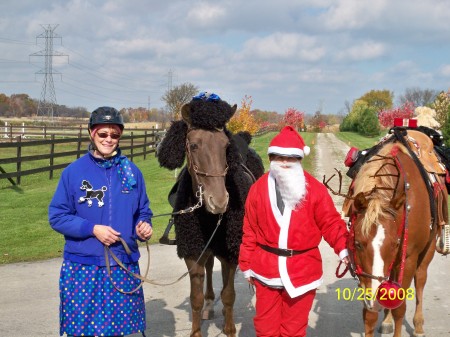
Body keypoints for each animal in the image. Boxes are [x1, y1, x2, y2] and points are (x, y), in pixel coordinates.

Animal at [342, 136, 446, 336]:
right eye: (357, 244)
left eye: (395, 244)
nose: (375, 294)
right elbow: (369, 314)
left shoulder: (408, 258)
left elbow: (400, 307)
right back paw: (387, 321)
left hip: (427, 250)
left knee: (420, 280)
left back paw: (418, 325)